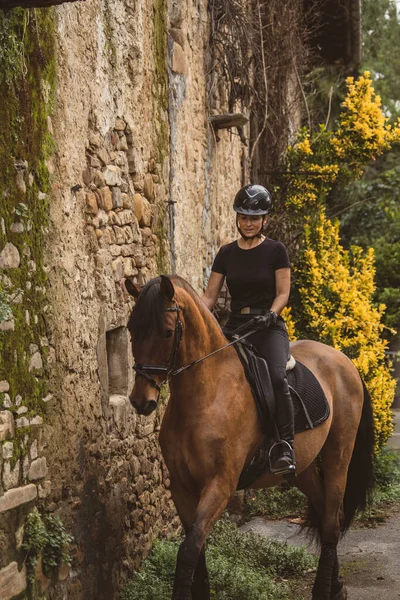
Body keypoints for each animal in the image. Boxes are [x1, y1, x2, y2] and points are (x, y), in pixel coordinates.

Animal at [127, 276, 376, 600]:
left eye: (167, 332)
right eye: (131, 330)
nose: (141, 401)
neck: (206, 395)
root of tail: (342, 359)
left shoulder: (221, 484)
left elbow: (189, 549)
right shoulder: (181, 487)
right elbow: (197, 549)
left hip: (339, 453)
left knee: (333, 521)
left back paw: (323, 590)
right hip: (303, 468)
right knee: (324, 516)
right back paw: (337, 587)